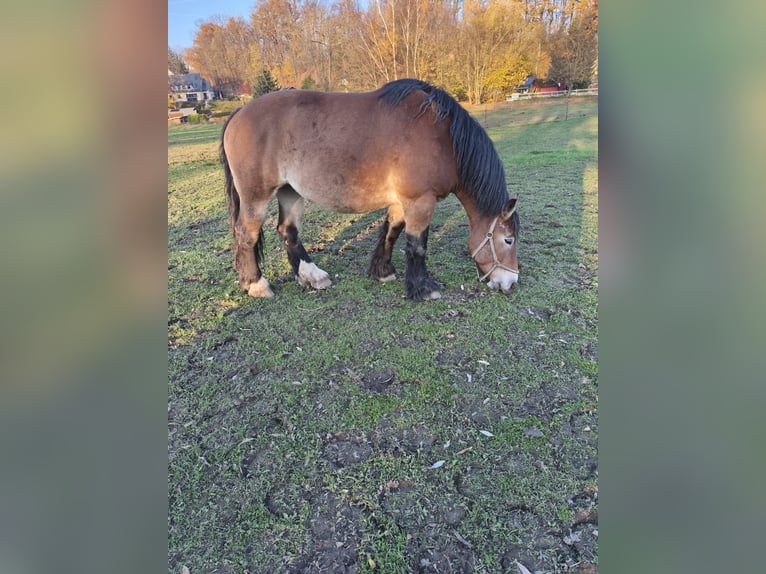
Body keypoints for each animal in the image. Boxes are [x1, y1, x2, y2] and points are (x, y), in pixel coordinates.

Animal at [219, 78, 520, 301]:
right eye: (508, 240)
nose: (511, 282)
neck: (443, 138)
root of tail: (239, 113)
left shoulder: (402, 201)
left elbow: (391, 233)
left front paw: (383, 271)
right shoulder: (420, 201)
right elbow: (417, 244)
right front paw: (423, 288)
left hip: (290, 191)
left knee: (287, 231)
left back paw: (311, 276)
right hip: (256, 196)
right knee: (246, 234)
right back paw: (256, 284)